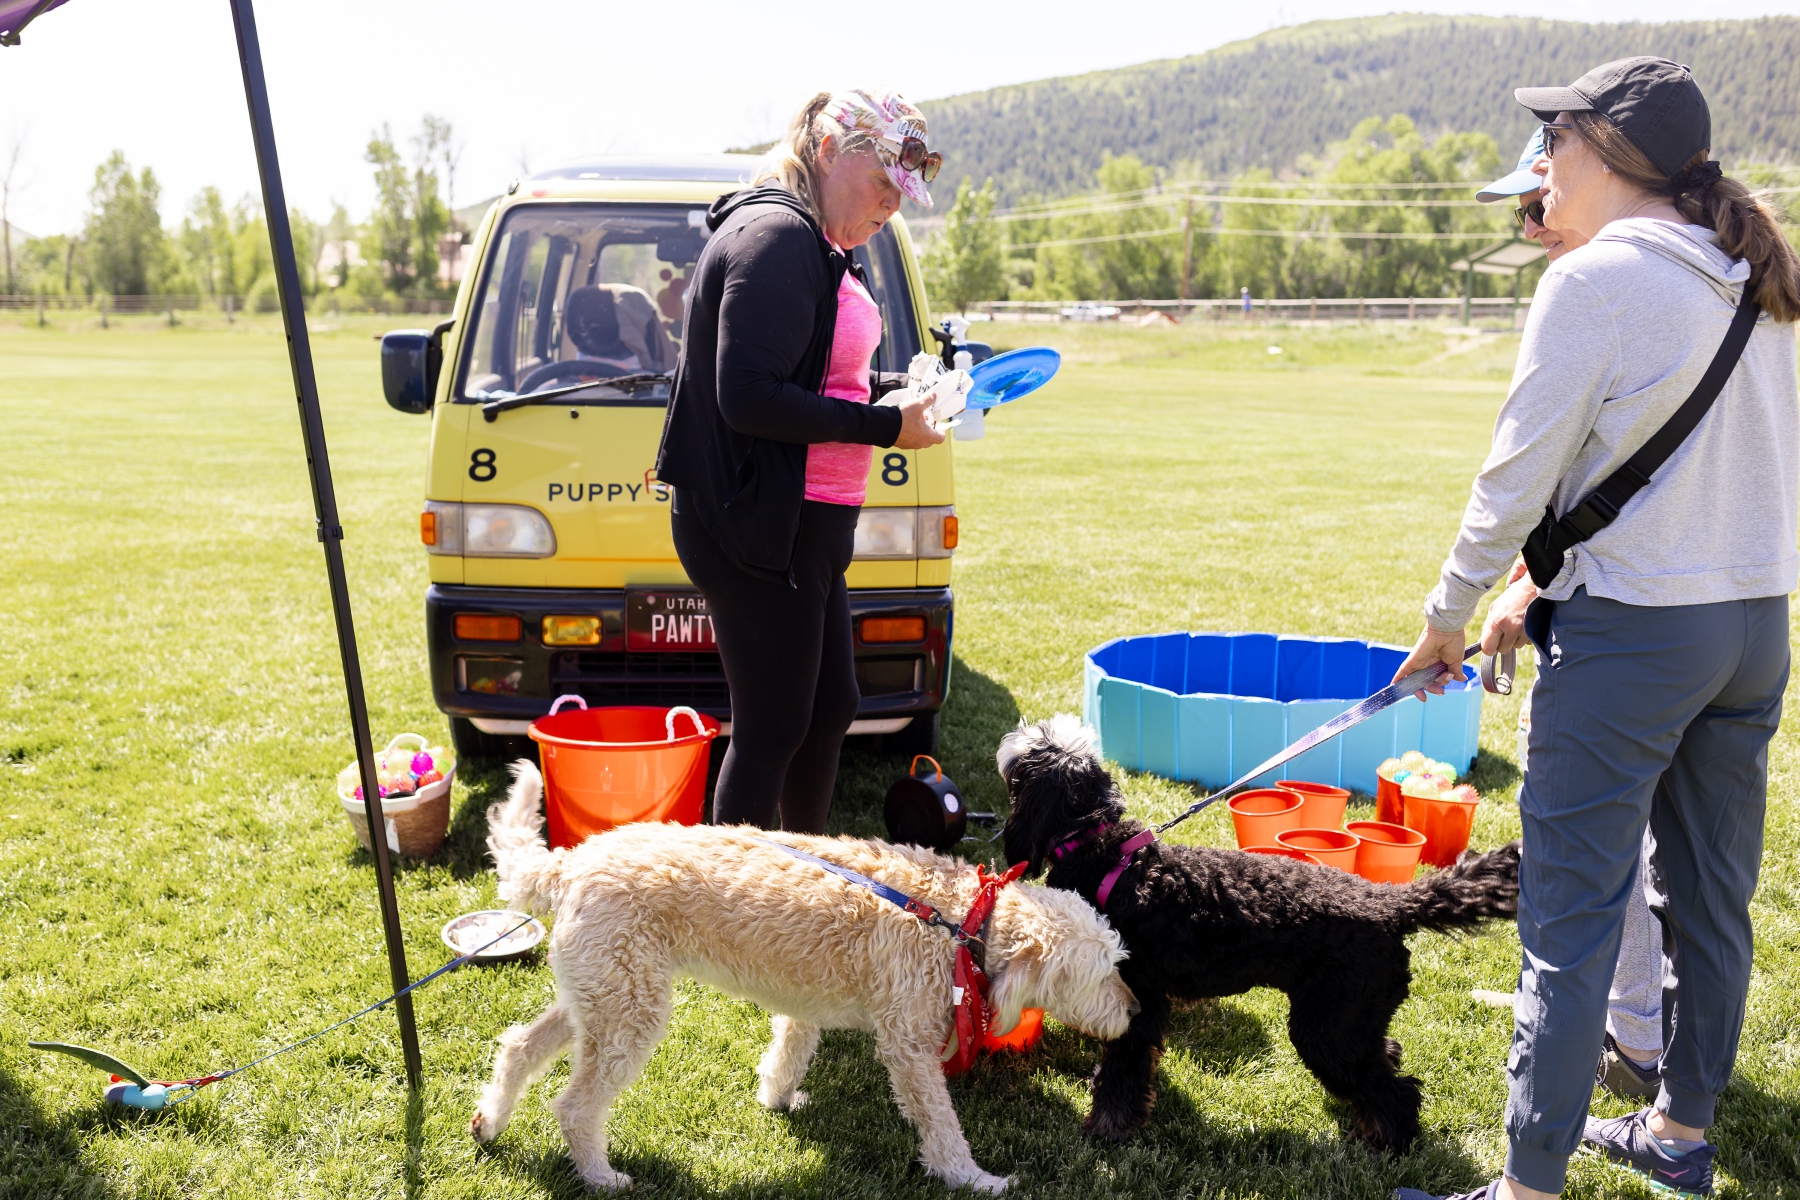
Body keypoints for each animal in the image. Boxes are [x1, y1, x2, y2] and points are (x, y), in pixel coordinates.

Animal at [472, 761, 1137, 1193]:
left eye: (1117, 961)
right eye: (1103, 970)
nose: (1134, 1011)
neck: (965, 919)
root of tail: (570, 864)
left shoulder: (804, 1006)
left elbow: (788, 1053)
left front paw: (778, 1099)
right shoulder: (909, 1050)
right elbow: (942, 1126)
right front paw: (974, 1179)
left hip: (601, 998)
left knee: (518, 1046)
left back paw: (490, 1122)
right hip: (628, 1015)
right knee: (574, 1104)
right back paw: (600, 1176)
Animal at [998, 715, 1520, 1152]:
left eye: (1040, 744)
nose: (1017, 732)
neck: (1107, 855)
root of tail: (1390, 903)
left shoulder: (1137, 1000)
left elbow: (1120, 1074)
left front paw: (1106, 1130)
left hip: (1328, 1028)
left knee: (1396, 1090)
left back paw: (1391, 1145)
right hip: (1353, 1021)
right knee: (1385, 1059)